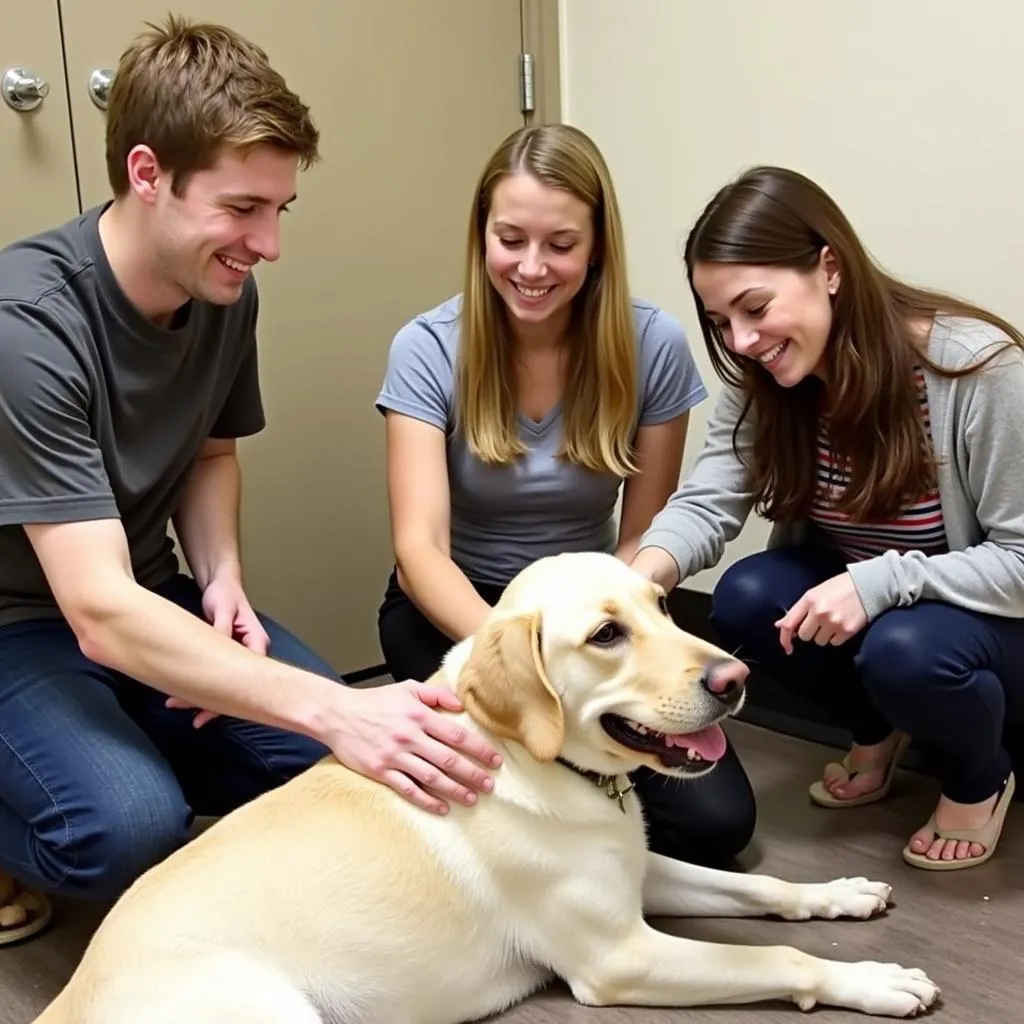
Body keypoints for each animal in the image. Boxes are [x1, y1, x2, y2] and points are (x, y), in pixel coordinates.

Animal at [36, 557, 937, 1019]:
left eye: (661, 605)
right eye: (606, 635)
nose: (738, 677)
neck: (543, 764)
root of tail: (69, 997)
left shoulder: (637, 873)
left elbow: (763, 891)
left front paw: (840, 894)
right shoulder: (621, 957)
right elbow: (778, 955)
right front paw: (874, 981)